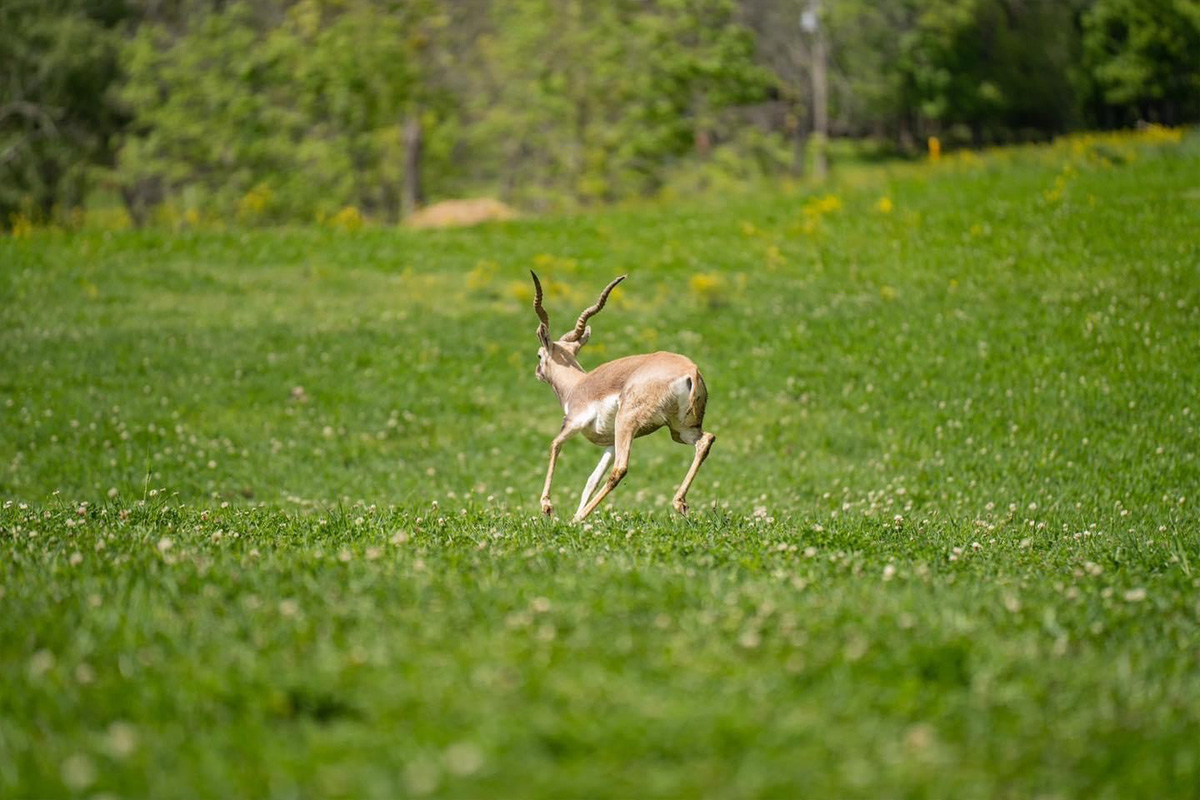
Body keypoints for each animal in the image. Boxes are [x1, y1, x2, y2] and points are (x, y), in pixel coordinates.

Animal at [532, 273, 710, 525]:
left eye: (540, 354)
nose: (537, 372)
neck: (577, 386)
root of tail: (690, 370)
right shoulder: (611, 442)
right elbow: (591, 479)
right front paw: (573, 516)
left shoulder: (573, 423)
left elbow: (554, 445)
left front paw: (548, 507)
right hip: (679, 429)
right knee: (706, 441)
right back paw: (680, 504)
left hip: (627, 422)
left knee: (620, 469)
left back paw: (582, 517)